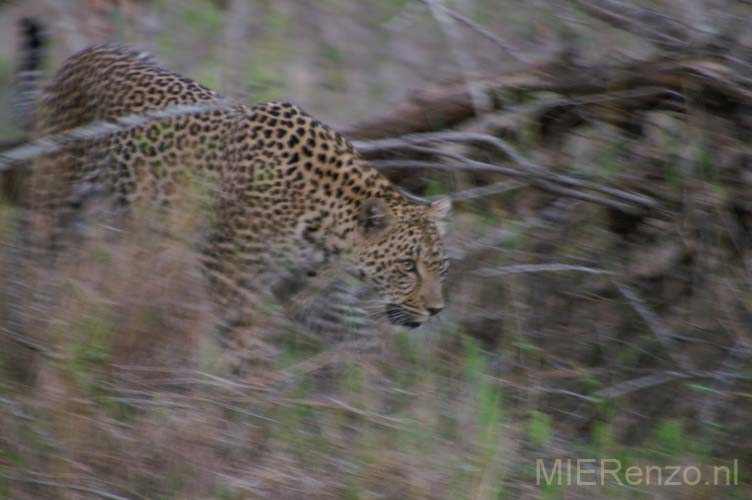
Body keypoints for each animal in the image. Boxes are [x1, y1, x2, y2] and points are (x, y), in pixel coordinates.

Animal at [19, 34, 452, 364]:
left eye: (441, 266)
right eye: (408, 265)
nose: (437, 311)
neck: (327, 225)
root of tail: (81, 54)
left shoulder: (312, 292)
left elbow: (354, 341)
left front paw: (365, 403)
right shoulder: (227, 274)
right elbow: (246, 350)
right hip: (53, 201)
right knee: (35, 258)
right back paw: (33, 317)